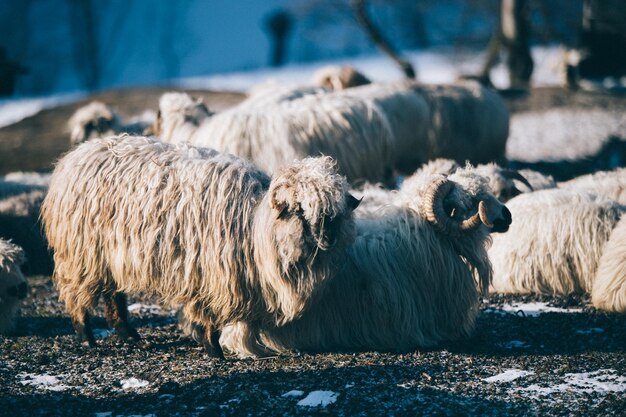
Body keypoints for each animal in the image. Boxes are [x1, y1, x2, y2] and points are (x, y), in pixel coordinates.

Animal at [41, 135, 358, 356]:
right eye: (300, 210)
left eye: (336, 213)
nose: (327, 239)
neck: (254, 224)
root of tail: (76, 155)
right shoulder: (207, 276)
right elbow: (208, 318)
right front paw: (214, 350)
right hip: (82, 254)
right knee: (78, 295)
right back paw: (86, 337)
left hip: (110, 255)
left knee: (112, 294)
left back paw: (126, 332)